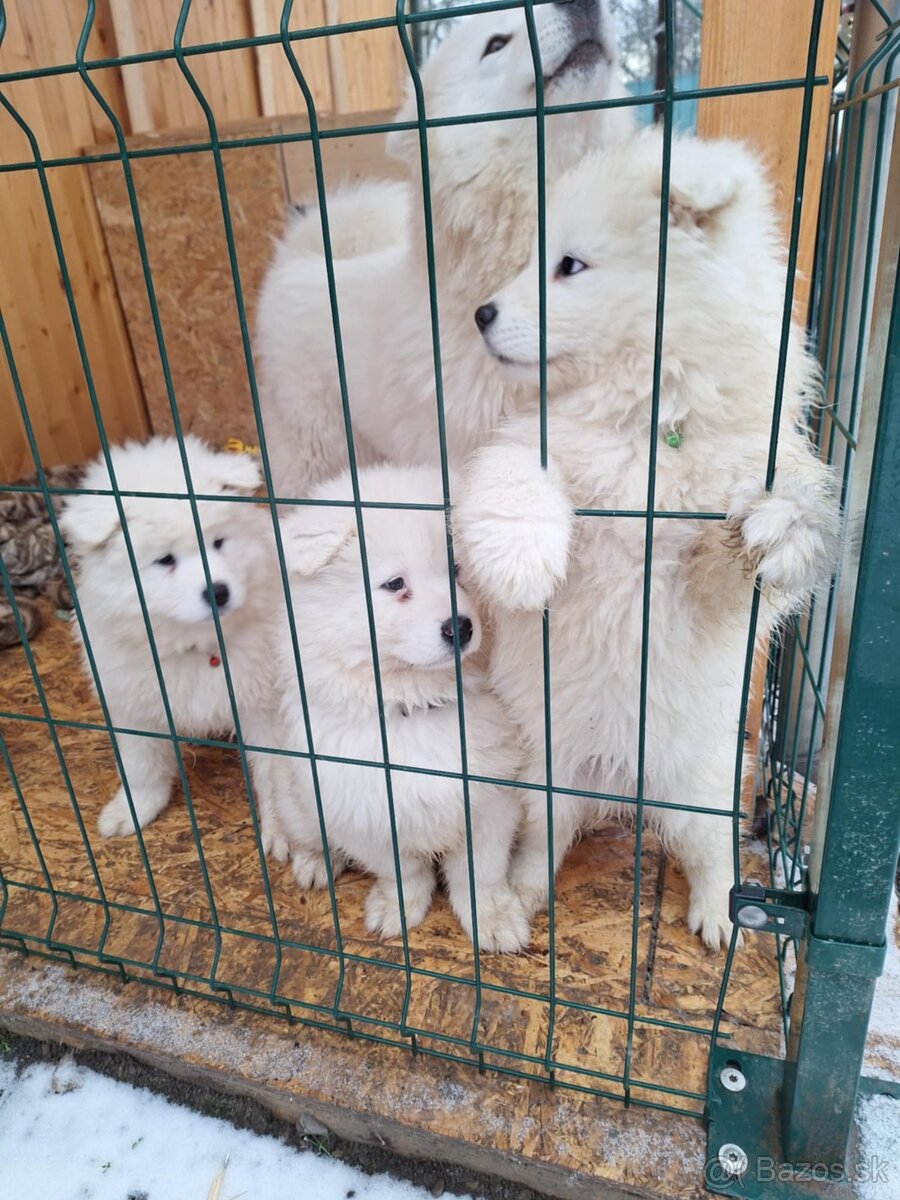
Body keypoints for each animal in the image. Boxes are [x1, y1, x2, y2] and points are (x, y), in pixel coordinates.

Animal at [62, 436, 282, 840]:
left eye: (218, 542)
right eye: (165, 560)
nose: (218, 592)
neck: (195, 644)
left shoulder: (264, 705)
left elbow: (275, 773)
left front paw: (284, 831)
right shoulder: (133, 706)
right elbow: (141, 765)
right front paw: (132, 810)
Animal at [260, 463, 528, 950]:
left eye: (458, 570)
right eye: (394, 584)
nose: (461, 627)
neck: (414, 703)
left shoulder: (490, 797)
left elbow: (480, 871)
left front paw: (494, 919)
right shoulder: (360, 809)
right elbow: (402, 870)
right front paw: (397, 909)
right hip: (297, 796)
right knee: (305, 831)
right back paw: (314, 862)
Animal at [453, 136, 844, 950]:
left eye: (570, 265)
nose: (480, 313)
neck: (648, 420)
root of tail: (621, 782)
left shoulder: (712, 579)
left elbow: (754, 541)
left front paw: (779, 525)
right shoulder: (535, 450)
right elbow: (511, 479)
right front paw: (524, 562)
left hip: (702, 781)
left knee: (710, 848)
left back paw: (723, 913)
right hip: (546, 770)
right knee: (542, 840)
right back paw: (522, 891)